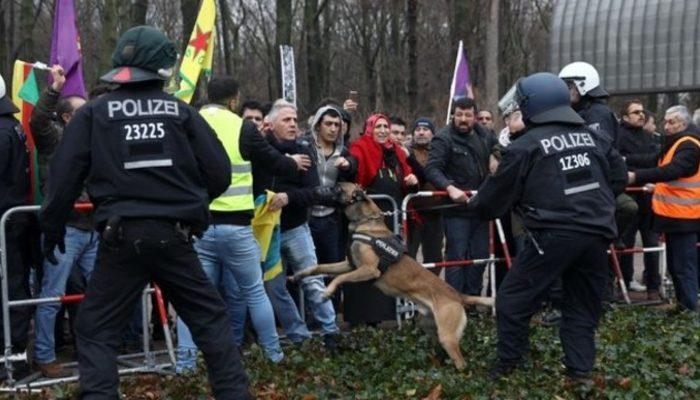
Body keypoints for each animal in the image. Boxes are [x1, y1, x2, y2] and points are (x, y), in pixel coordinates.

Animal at [292, 183, 494, 370]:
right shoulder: (349, 265)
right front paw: (299, 275)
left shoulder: (368, 270)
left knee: (460, 361)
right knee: (441, 351)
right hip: (429, 326)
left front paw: (326, 292)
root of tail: (457, 295)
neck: (365, 223)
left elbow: (338, 278)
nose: (316, 190)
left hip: (447, 335)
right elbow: (319, 267)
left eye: (337, 187)